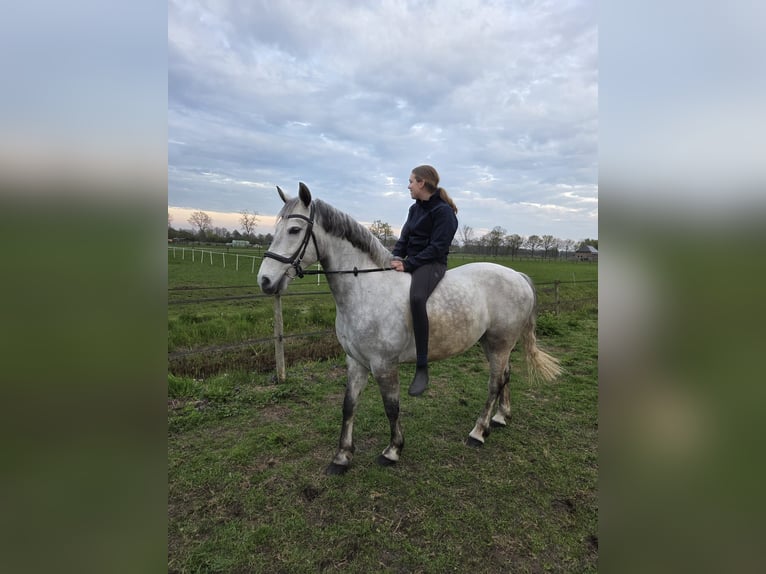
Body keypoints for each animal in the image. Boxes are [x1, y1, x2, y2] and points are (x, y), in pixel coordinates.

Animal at [257, 182, 562, 475]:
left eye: (294, 230)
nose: (265, 281)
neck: (365, 289)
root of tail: (517, 276)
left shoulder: (383, 364)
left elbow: (391, 407)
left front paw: (393, 451)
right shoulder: (356, 361)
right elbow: (348, 406)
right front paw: (342, 457)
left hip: (499, 343)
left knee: (495, 383)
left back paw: (478, 431)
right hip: (493, 343)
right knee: (505, 376)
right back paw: (500, 417)